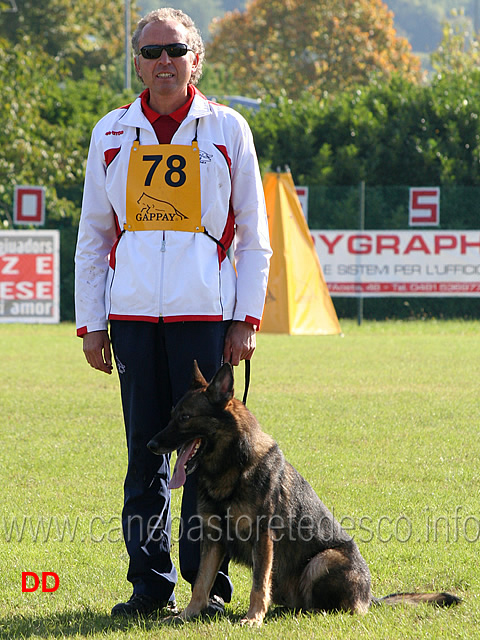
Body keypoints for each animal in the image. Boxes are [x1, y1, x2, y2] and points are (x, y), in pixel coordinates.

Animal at [147, 362, 462, 628]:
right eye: (172, 416)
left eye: (185, 418)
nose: (150, 445)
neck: (232, 467)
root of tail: (370, 597)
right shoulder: (213, 538)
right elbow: (201, 583)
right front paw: (187, 615)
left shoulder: (263, 538)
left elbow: (258, 585)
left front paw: (253, 618)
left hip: (323, 561)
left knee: (337, 607)